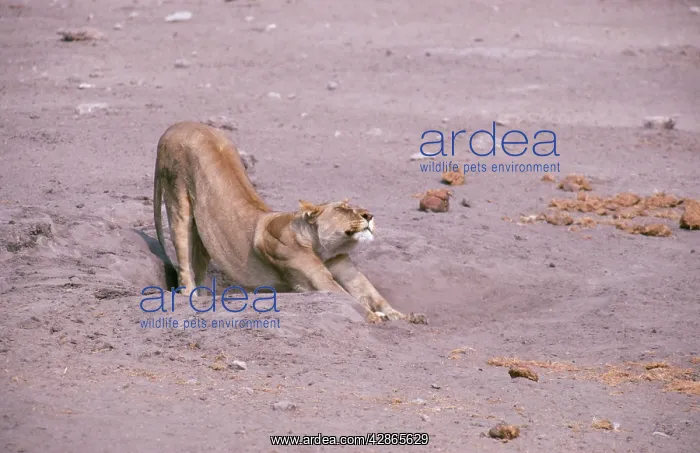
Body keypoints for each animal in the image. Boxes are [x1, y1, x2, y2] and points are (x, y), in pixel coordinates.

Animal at [153, 121, 413, 323]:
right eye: (343, 209)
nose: (369, 215)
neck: (324, 249)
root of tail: (176, 126)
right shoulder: (313, 279)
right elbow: (346, 296)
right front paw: (375, 316)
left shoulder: (345, 268)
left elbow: (372, 294)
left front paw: (402, 315)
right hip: (178, 201)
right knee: (184, 261)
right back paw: (190, 296)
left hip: (203, 232)